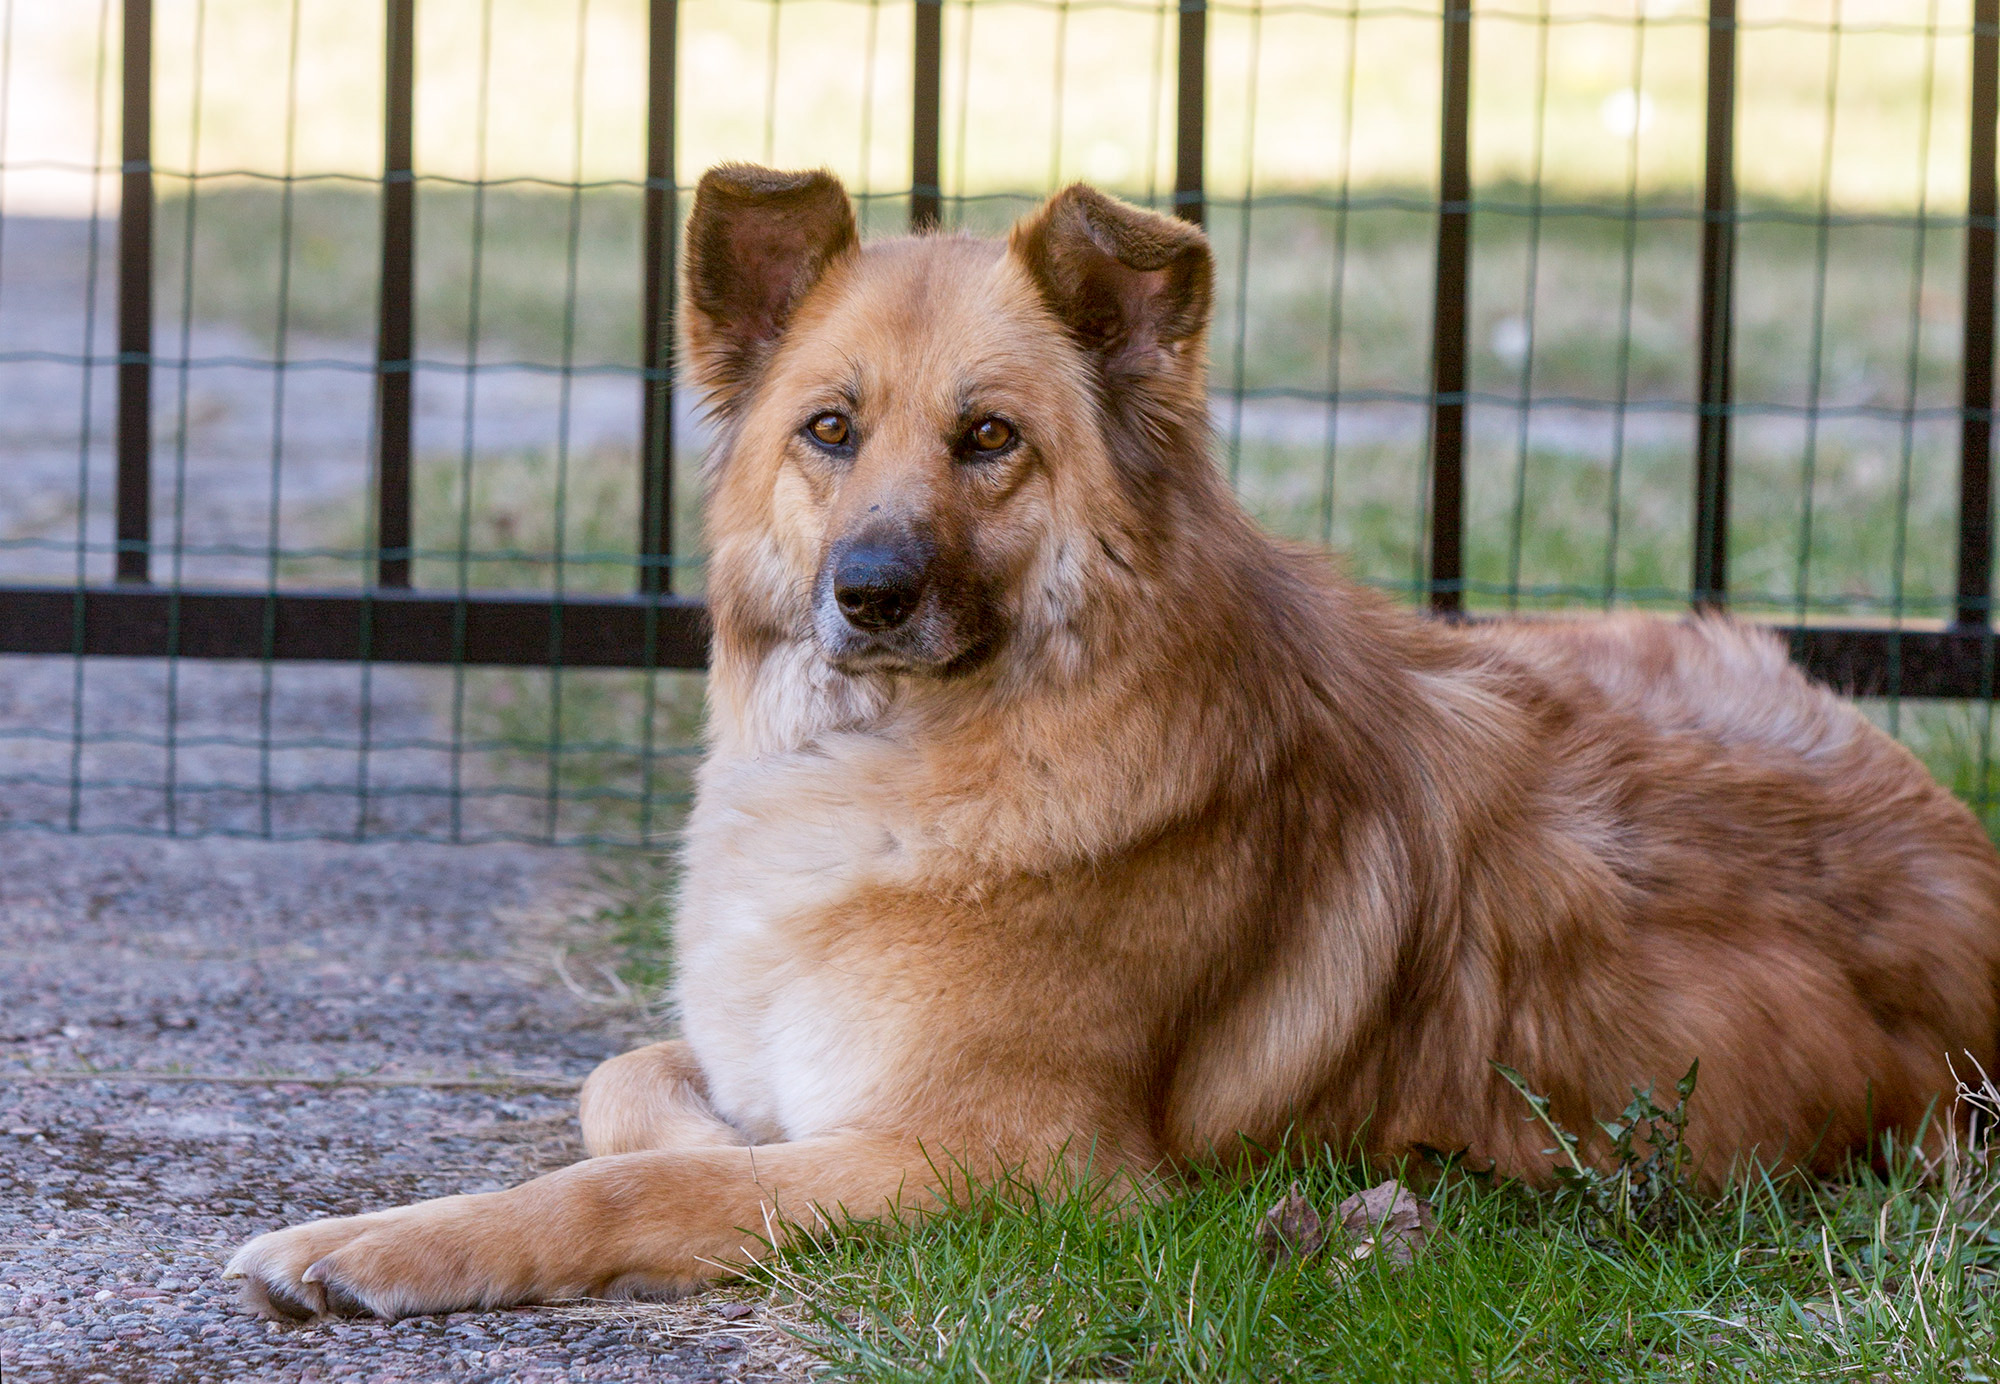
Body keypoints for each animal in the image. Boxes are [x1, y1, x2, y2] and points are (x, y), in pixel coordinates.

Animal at [226, 164, 2000, 1321]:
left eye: (990, 438)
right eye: (828, 430)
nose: (869, 593)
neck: (916, 765)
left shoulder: (1025, 1170)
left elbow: (642, 1176)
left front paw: (384, 1245)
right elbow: (635, 1081)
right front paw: (722, 1125)